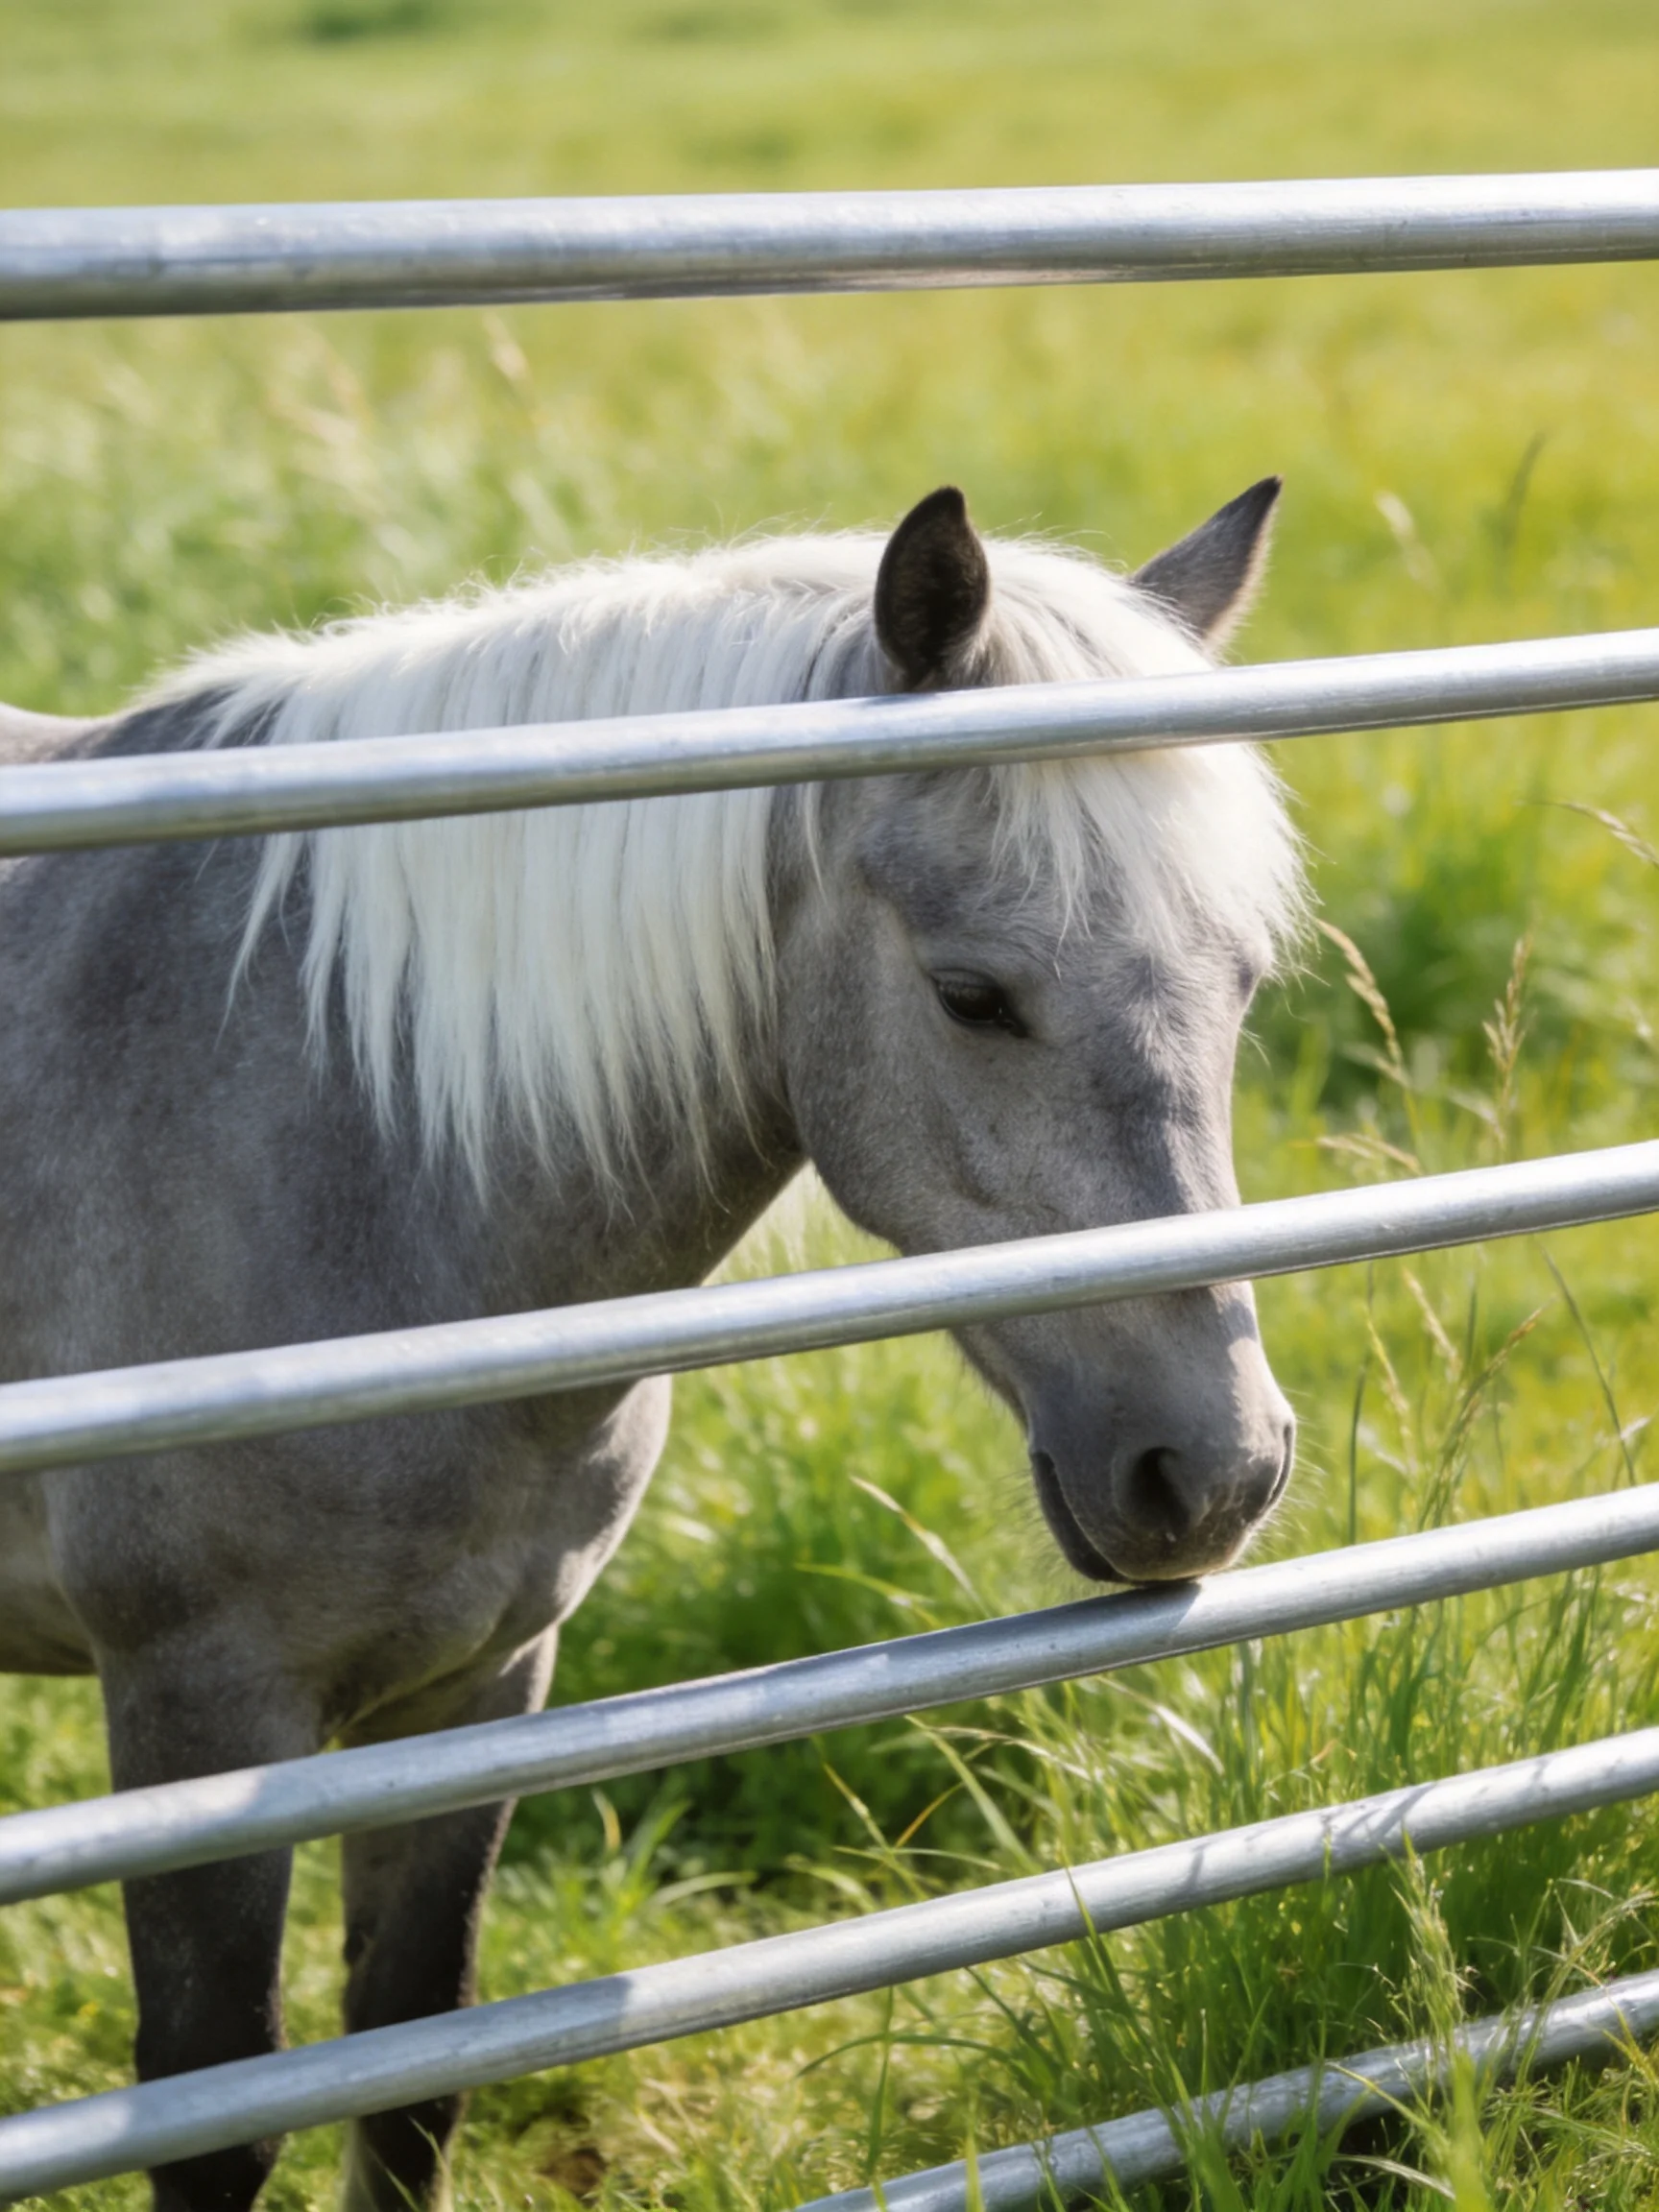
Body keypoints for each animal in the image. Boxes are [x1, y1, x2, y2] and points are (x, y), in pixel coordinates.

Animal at [0, 477, 1302, 2212]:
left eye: (1242, 987)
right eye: (971, 994)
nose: (1213, 1469)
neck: (350, 1139)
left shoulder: (476, 1686)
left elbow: (406, 2067)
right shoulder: (199, 1708)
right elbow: (218, 2105)